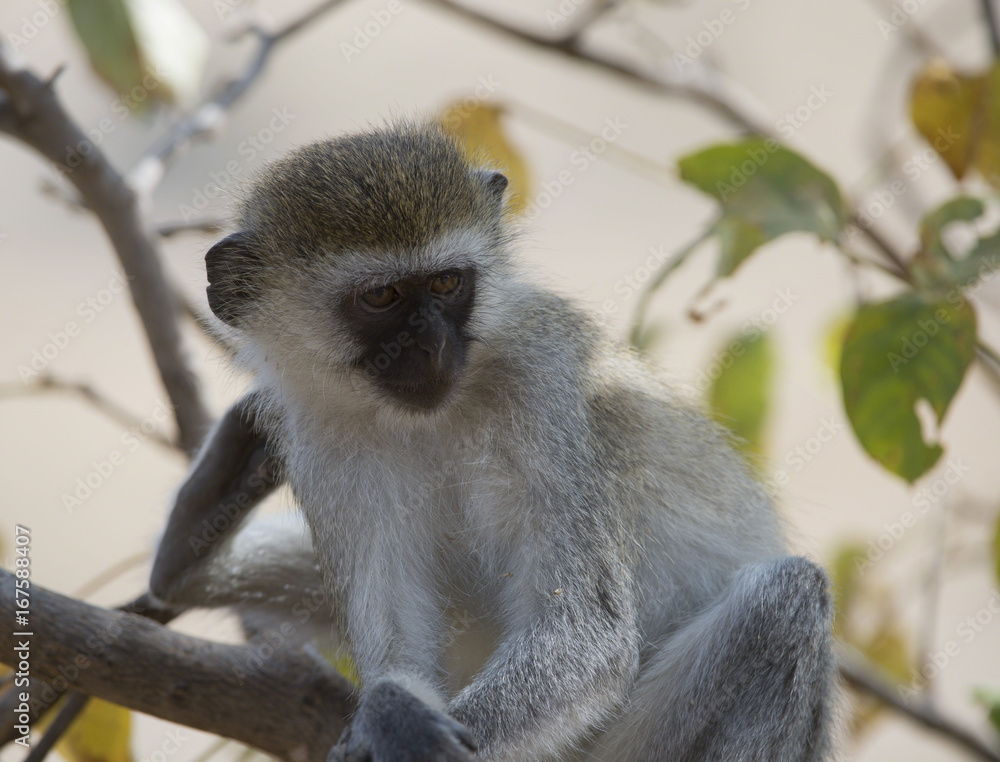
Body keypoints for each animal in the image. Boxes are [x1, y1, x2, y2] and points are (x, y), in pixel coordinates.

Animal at [149, 121, 836, 762]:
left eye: (448, 284)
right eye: (381, 296)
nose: (431, 346)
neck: (430, 419)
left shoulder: (544, 380)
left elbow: (585, 634)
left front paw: (407, 736)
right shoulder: (317, 435)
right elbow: (398, 636)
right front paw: (393, 710)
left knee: (784, 598)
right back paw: (189, 547)